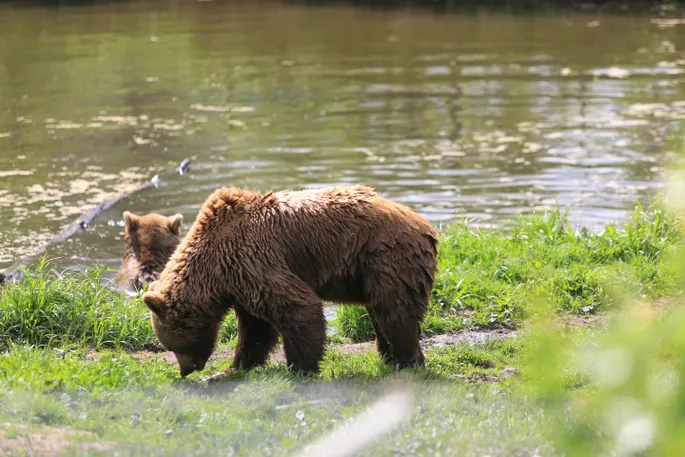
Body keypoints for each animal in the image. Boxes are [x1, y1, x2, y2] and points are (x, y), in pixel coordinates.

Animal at [143, 185, 438, 378]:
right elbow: (255, 329)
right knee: (379, 312)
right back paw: (389, 356)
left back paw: (407, 361)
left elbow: (297, 306)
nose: (186, 370)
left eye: (172, 345)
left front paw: (300, 368)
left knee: (395, 313)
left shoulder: (252, 258)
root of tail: (425, 224)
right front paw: (232, 369)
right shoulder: (240, 281)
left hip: (386, 256)